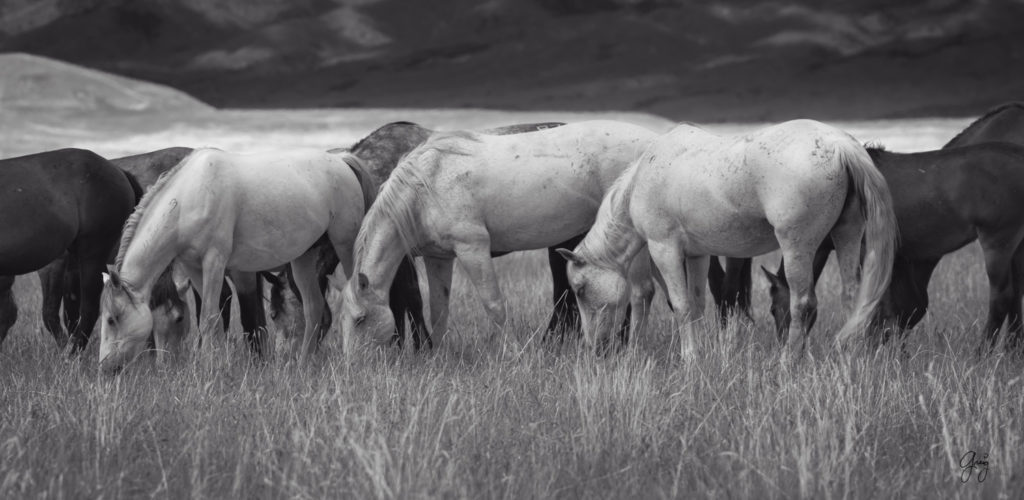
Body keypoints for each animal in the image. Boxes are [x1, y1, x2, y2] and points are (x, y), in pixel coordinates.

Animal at [97, 146, 370, 372]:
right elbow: (215, 318)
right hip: (302, 259)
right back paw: (303, 365)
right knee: (313, 307)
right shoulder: (194, 268)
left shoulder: (214, 262)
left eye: (112, 319)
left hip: (345, 246)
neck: (189, 198)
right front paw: (212, 365)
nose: (105, 367)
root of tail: (341, 160)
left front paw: (207, 369)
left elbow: (208, 318)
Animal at [335, 120, 655, 348]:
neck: (427, 184)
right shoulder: (438, 258)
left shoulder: (472, 249)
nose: (354, 367)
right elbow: (438, 309)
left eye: (360, 319)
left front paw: (512, 352)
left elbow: (493, 304)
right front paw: (437, 354)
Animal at [557, 119, 901, 358]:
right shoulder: (697, 255)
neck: (643, 178)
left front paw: (690, 358)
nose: (593, 347)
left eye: (580, 289)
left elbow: (681, 305)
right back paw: (848, 355)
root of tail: (838, 143)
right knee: (853, 296)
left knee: (803, 303)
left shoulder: (664, 249)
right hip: (848, 235)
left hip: (797, 247)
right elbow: (697, 304)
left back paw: (789, 361)